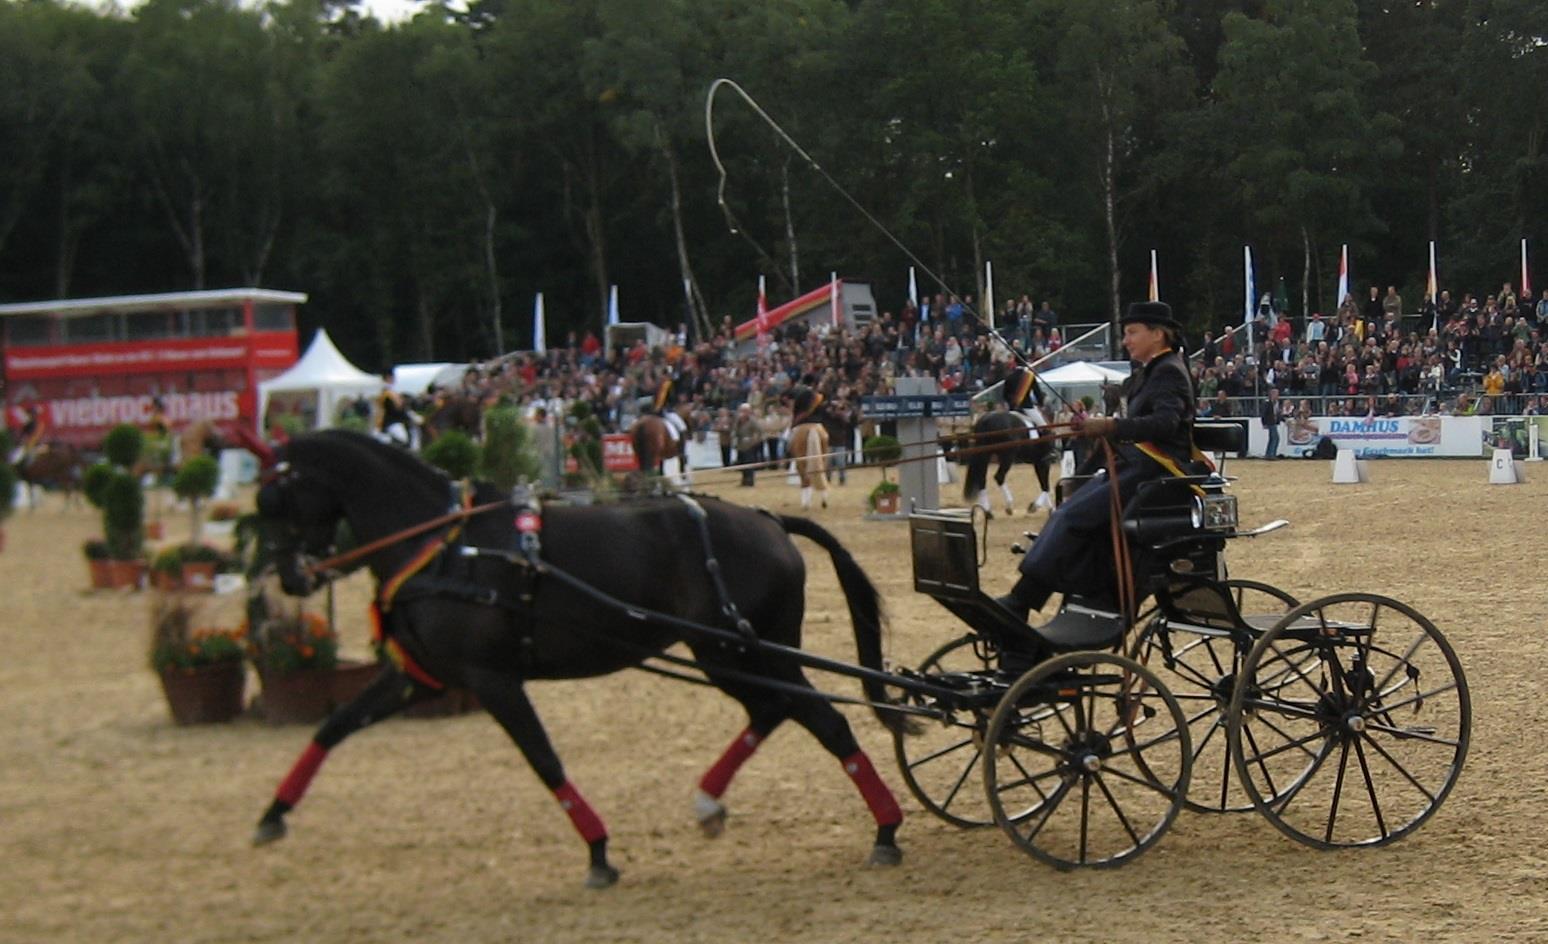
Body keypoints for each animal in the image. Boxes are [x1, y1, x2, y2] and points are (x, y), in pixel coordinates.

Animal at [252, 430, 904, 885]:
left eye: (275, 497)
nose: (289, 577)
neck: (444, 547)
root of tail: (769, 520)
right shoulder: (422, 676)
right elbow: (335, 725)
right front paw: (272, 815)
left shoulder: (492, 679)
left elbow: (544, 761)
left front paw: (597, 852)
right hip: (727, 654)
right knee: (774, 711)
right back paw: (711, 802)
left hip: (741, 649)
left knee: (822, 718)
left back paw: (886, 829)